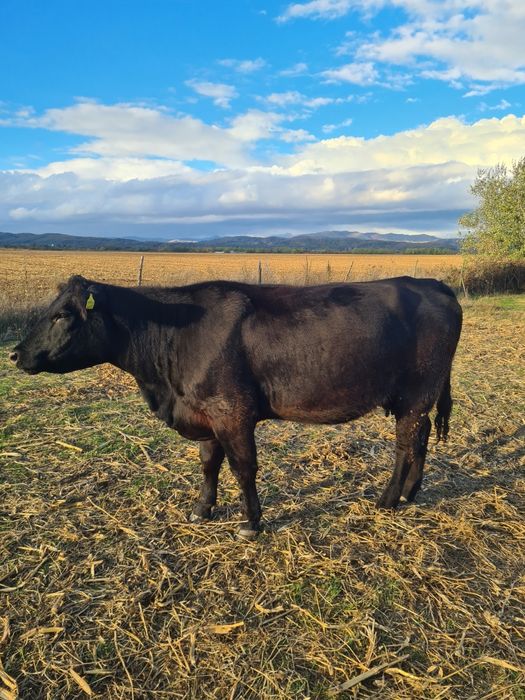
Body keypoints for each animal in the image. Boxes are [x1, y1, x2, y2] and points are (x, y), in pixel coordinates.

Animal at [10, 275, 462, 538]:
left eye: (63, 314)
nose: (14, 354)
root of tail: (435, 284)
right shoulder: (204, 414)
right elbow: (209, 463)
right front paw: (202, 509)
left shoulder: (232, 412)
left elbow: (243, 468)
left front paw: (250, 523)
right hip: (417, 398)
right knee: (421, 438)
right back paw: (411, 492)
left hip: (416, 393)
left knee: (405, 444)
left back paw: (388, 499)